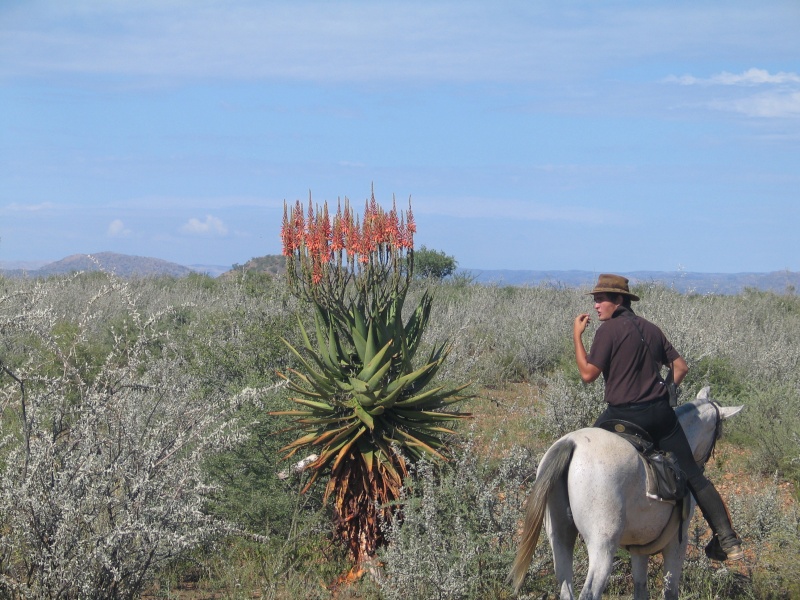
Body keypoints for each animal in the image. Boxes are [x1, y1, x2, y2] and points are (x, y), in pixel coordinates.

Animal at [512, 390, 744, 600]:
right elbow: (670, 591)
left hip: (559, 538)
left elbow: (640, 589)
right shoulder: (677, 542)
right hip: (602, 547)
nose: (702, 463)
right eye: (718, 433)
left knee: (566, 589)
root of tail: (571, 443)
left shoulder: (639, 546)